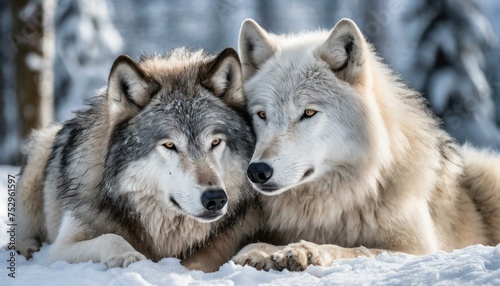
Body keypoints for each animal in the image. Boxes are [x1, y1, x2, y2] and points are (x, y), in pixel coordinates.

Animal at [15, 45, 260, 272]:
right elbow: (111, 237)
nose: (216, 198)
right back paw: (25, 247)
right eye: (169, 145)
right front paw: (128, 255)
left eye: (215, 142)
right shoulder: (60, 249)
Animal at [232, 18, 500, 272]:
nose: (257, 171)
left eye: (308, 112)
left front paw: (306, 250)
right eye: (262, 115)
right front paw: (258, 251)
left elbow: (355, 249)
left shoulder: (415, 249)